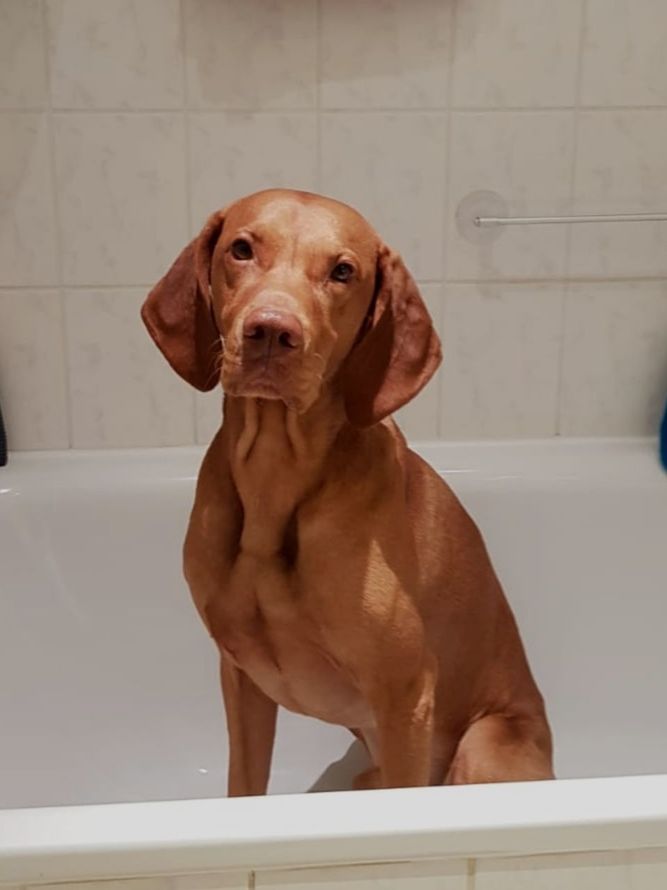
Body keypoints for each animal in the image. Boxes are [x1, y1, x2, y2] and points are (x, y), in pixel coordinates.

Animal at [142, 187, 552, 792]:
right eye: (241, 248)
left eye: (342, 271)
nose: (271, 331)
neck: (274, 484)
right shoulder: (241, 678)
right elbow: (244, 783)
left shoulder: (406, 696)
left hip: (482, 746)